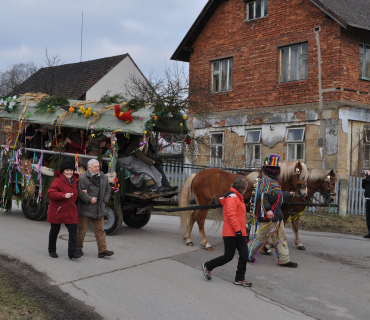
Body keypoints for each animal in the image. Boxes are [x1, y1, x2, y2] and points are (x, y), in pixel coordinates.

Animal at [178, 160, 306, 250]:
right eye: (302, 176)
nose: (304, 193)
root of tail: (197, 174)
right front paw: (266, 246)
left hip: (201, 204)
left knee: (193, 217)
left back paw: (188, 239)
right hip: (205, 203)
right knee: (200, 220)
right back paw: (206, 243)